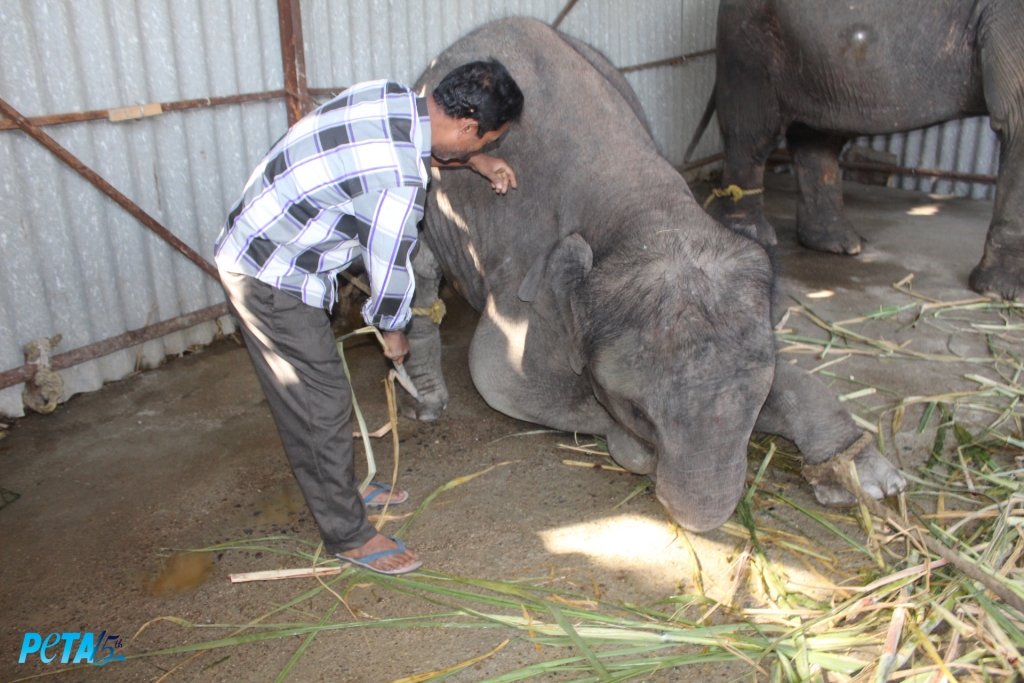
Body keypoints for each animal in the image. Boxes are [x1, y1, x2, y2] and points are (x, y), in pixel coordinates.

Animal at [399, 17, 905, 532]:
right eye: (637, 411)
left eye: (757, 401)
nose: (698, 521)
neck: (646, 208)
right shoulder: (525, 269)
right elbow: (498, 377)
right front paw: (634, 450)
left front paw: (872, 480)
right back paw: (428, 403)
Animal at [688, 0, 1024, 299]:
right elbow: (1015, 123)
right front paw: (1002, 293)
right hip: (751, 45)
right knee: (754, 133)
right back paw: (754, 236)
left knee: (817, 136)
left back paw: (839, 245)